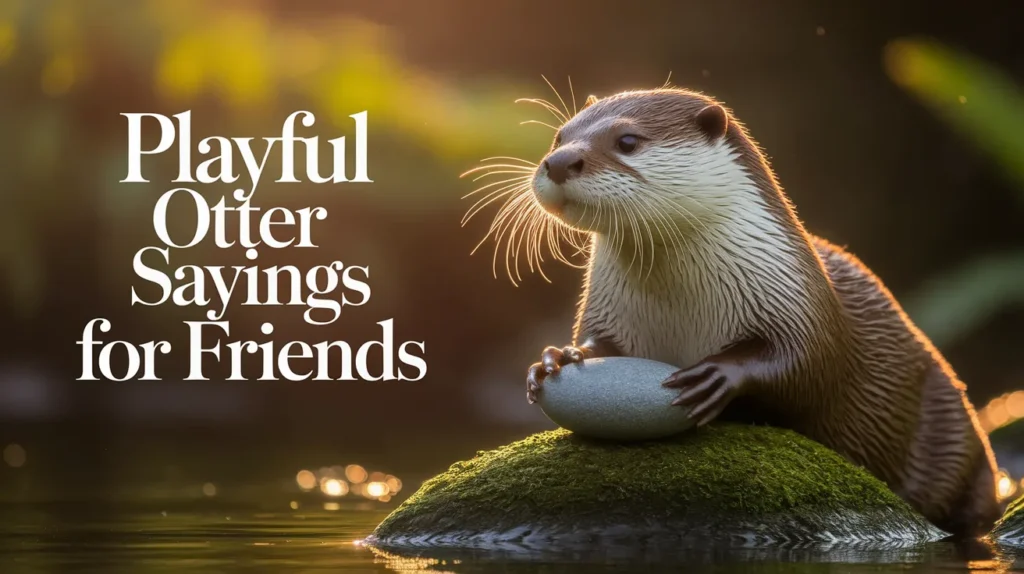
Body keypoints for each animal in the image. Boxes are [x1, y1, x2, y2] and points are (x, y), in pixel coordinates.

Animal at [497, 88, 1001, 537]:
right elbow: (599, 345)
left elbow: (808, 364)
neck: (680, 308)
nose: (559, 162)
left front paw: (717, 374)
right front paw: (559, 357)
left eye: (627, 140)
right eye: (559, 137)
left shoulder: (796, 299)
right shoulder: (609, 312)